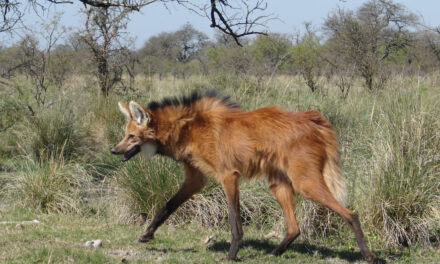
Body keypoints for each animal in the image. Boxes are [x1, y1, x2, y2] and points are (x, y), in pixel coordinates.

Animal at [111, 90, 376, 262]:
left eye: (131, 136)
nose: (114, 150)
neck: (187, 129)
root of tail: (313, 117)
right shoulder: (196, 179)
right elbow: (167, 206)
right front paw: (146, 235)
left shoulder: (228, 176)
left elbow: (233, 220)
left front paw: (231, 255)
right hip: (278, 184)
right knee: (294, 227)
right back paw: (274, 253)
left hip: (305, 183)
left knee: (351, 214)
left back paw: (369, 255)